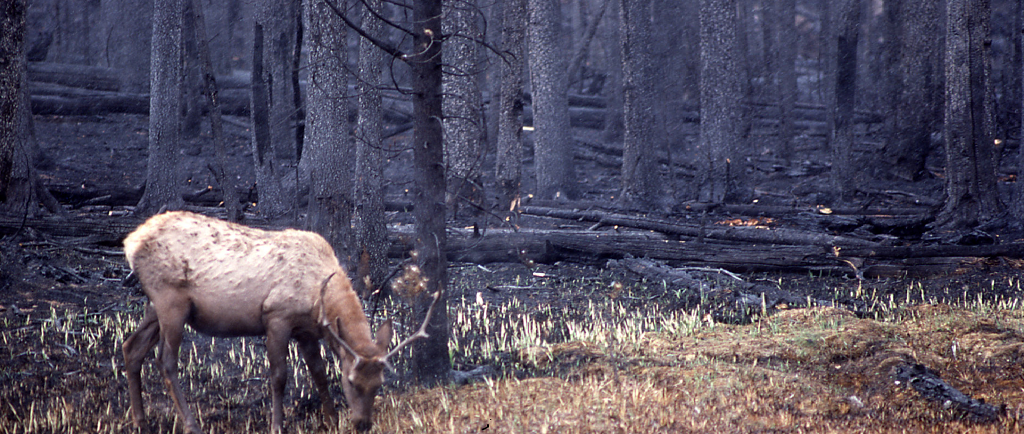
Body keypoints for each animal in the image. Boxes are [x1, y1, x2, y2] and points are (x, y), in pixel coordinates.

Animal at [122, 211, 436, 431]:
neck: (317, 297)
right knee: (165, 361)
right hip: (170, 300)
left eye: (379, 383)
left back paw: (140, 421)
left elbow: (318, 372)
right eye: (351, 381)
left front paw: (331, 420)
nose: (362, 424)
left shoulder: (306, 330)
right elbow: (279, 377)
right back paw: (190, 425)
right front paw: (277, 425)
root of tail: (129, 242)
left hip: (156, 304)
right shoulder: (277, 316)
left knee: (131, 346)